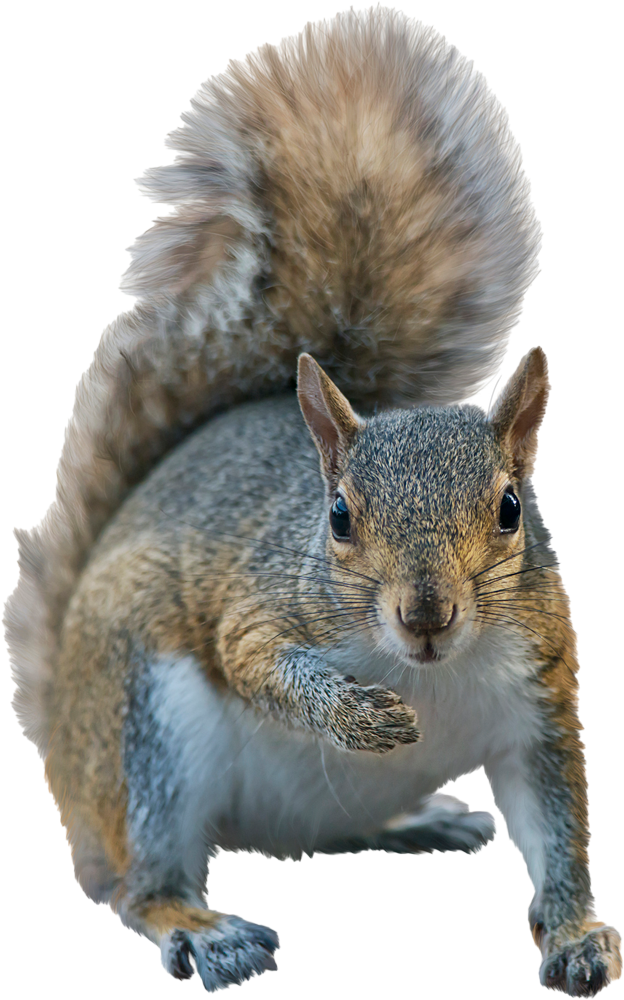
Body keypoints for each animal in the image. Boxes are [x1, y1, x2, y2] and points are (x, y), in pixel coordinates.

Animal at [3, 7, 621, 996]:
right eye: (337, 516)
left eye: (511, 508)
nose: (426, 617)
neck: (428, 672)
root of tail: (62, 741)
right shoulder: (259, 601)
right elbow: (253, 658)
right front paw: (356, 714)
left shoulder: (539, 695)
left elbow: (560, 830)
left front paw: (574, 934)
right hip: (144, 728)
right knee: (139, 889)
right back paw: (204, 928)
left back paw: (419, 820)